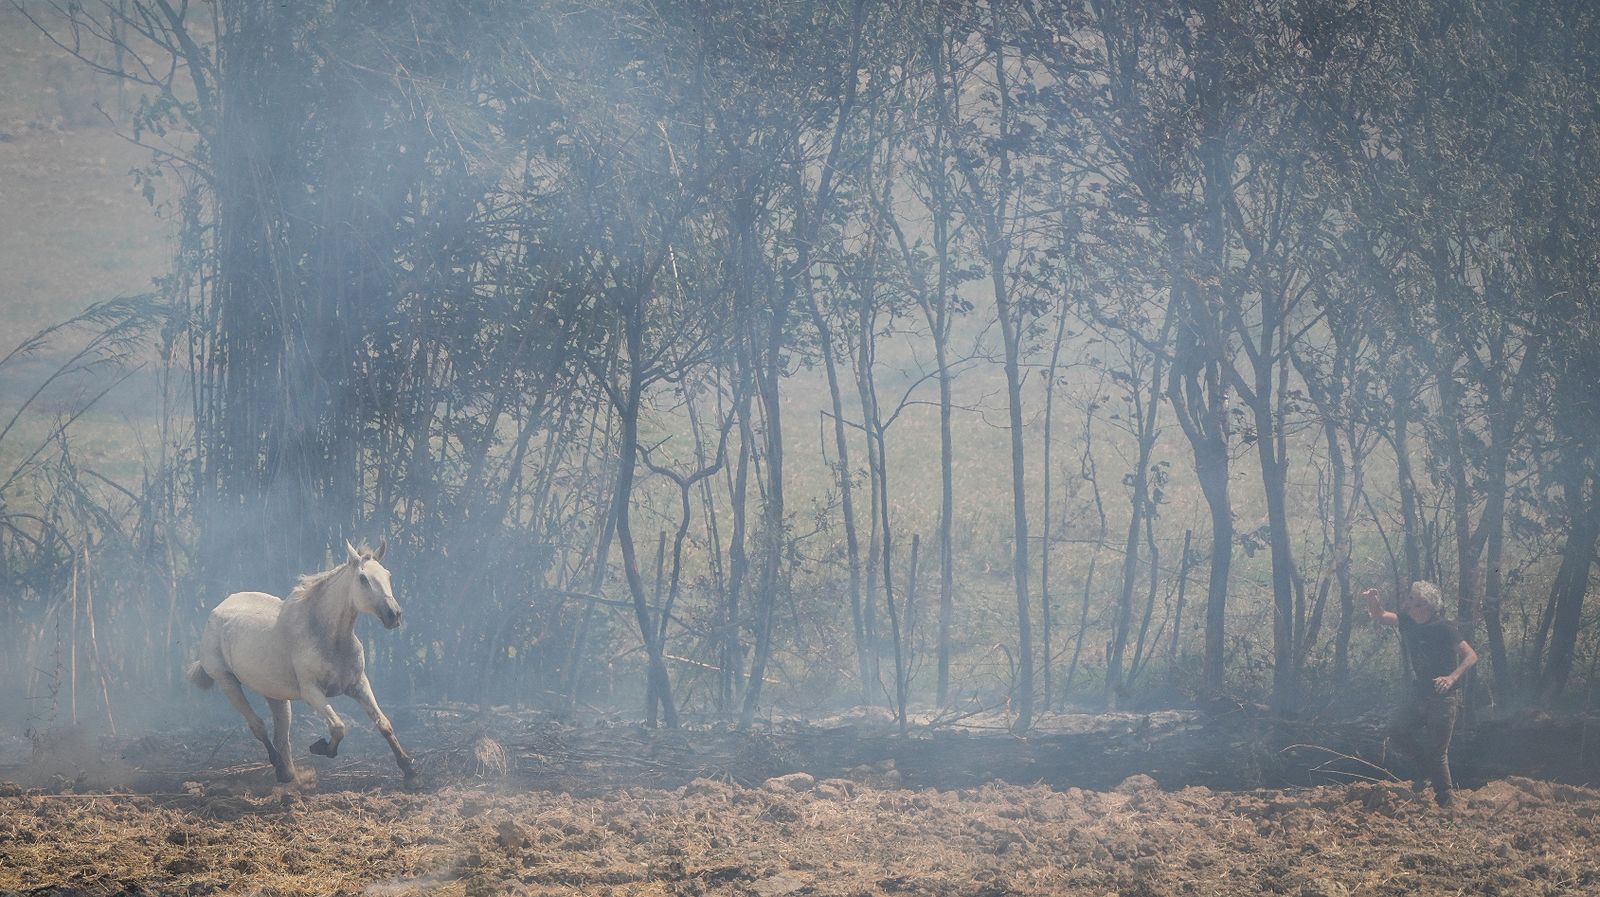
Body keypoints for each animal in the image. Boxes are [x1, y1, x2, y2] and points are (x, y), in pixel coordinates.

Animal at [184, 540, 416, 782]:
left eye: (388, 575)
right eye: (363, 578)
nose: (394, 615)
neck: (327, 637)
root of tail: (216, 611)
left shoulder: (358, 685)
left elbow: (384, 724)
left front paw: (409, 769)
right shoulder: (311, 691)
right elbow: (338, 726)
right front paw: (322, 748)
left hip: (274, 694)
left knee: (281, 736)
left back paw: (288, 774)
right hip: (227, 682)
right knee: (258, 726)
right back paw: (279, 766)